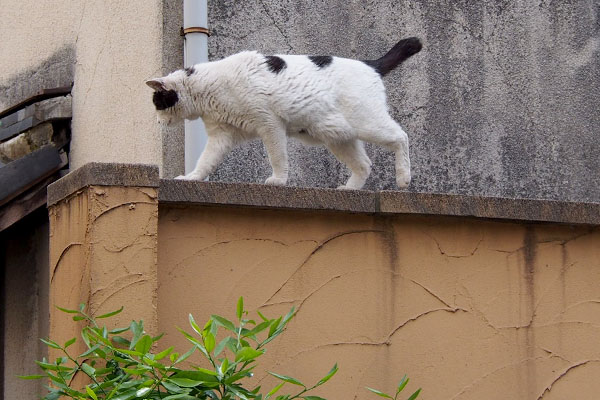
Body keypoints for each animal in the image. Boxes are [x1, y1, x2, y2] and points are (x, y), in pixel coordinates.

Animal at [147, 36, 422, 190]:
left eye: (157, 103)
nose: (157, 122)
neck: (208, 87)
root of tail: (369, 64)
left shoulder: (270, 125)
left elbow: (277, 157)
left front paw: (278, 180)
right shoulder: (220, 136)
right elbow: (205, 162)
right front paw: (191, 178)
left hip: (368, 123)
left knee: (402, 137)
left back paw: (404, 178)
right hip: (338, 136)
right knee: (364, 165)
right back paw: (349, 189)